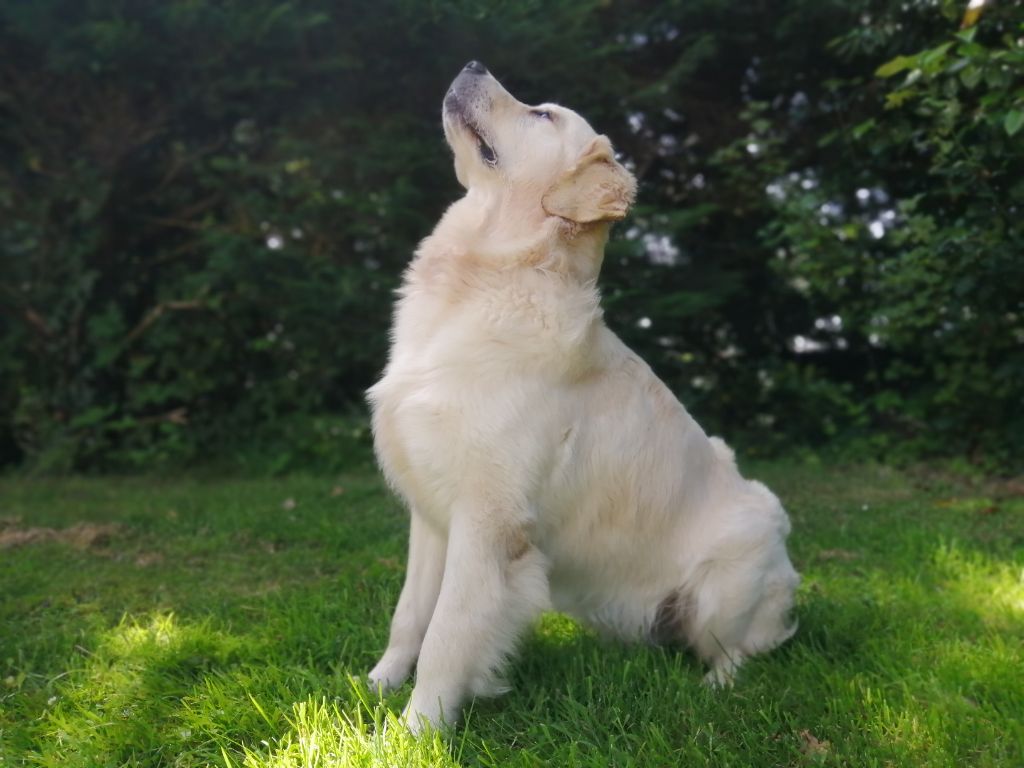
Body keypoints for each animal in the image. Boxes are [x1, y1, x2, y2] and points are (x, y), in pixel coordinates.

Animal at [368, 61, 798, 733]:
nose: (471, 64)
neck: (485, 281)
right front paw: (380, 683)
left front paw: (416, 731)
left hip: (728, 580)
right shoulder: (432, 513)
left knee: (740, 652)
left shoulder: (488, 524)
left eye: (542, 114)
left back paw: (713, 690)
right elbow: (410, 613)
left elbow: (448, 633)